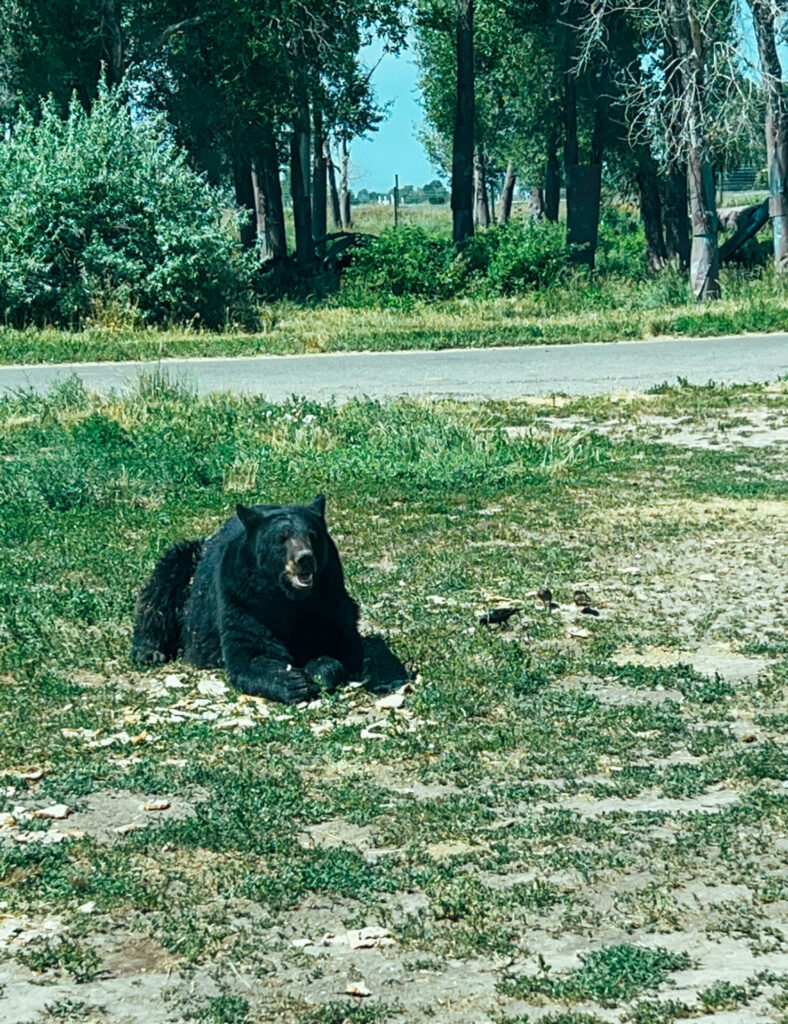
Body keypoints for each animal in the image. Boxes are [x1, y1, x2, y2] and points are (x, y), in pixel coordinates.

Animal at [130, 495, 364, 704]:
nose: (304, 558)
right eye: (281, 537)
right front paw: (292, 682)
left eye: (312, 535)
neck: (286, 596)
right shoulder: (244, 599)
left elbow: (338, 642)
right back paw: (149, 651)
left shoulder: (328, 596)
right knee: (162, 585)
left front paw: (317, 671)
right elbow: (250, 650)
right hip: (190, 565)